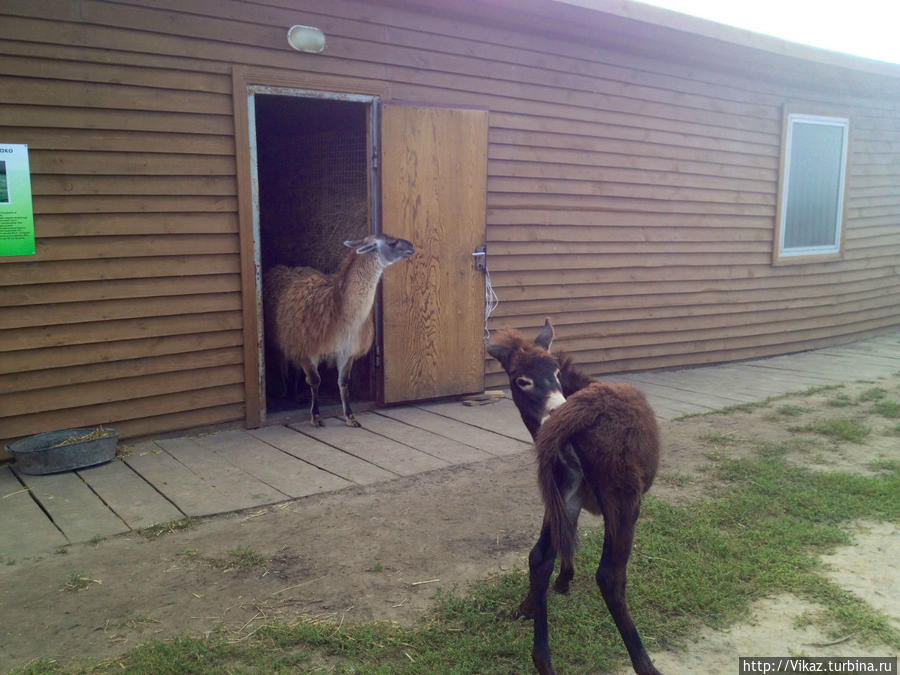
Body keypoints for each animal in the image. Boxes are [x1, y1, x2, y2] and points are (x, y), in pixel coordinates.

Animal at [492, 320, 660, 675]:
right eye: (522, 380)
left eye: (555, 371)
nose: (556, 408)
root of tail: (572, 418)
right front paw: (563, 582)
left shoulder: (565, 497)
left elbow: (560, 545)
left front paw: (551, 589)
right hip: (623, 499)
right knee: (610, 577)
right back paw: (644, 663)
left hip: (565, 488)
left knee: (539, 557)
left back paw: (542, 659)